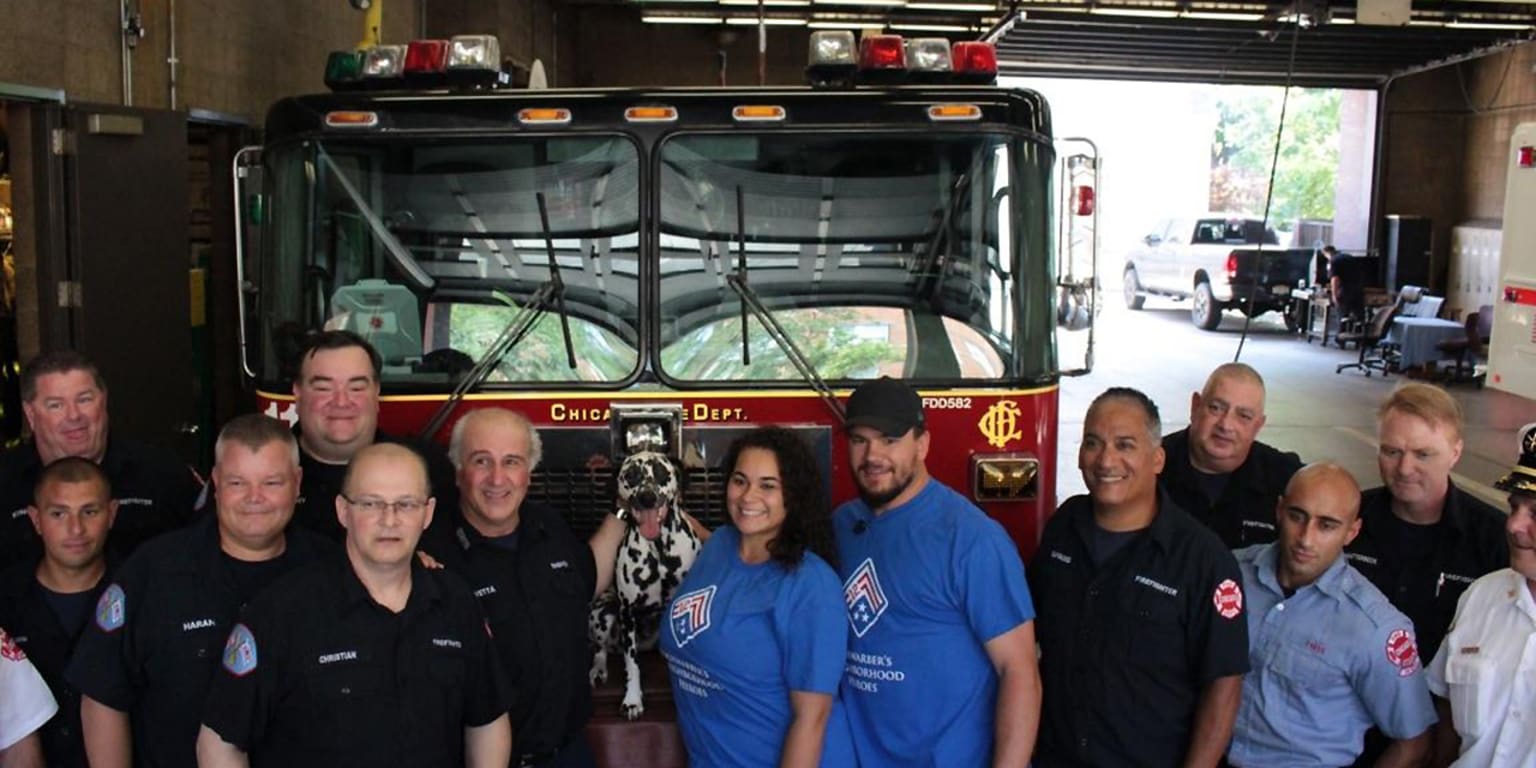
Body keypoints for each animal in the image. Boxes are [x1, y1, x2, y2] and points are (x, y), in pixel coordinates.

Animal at [586, 448, 703, 718]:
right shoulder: (627, 613)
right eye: (630, 475)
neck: (658, 549)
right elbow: (632, 665)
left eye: (661, 472)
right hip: (602, 613)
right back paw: (598, 669)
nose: (647, 497)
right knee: (600, 650)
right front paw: (632, 699)